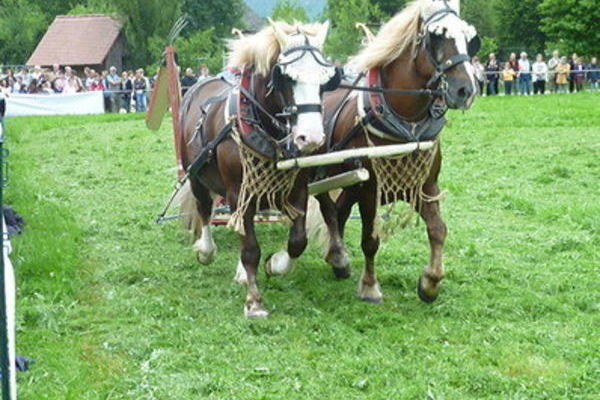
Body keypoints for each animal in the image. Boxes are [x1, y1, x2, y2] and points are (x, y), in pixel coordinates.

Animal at [178, 20, 340, 318]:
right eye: (286, 78)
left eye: (326, 81)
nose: (311, 138)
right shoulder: (237, 191)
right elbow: (250, 248)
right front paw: (254, 301)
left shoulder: (297, 189)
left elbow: (297, 241)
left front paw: (275, 264)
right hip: (195, 174)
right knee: (204, 209)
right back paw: (206, 250)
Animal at [314, 0, 478, 304]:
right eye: (437, 37)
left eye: (470, 40)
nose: (465, 90)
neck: (406, 124)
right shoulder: (369, 189)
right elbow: (370, 240)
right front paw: (369, 286)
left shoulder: (425, 184)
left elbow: (438, 230)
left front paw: (430, 283)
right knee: (328, 208)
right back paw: (338, 255)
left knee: (339, 211)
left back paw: (338, 261)